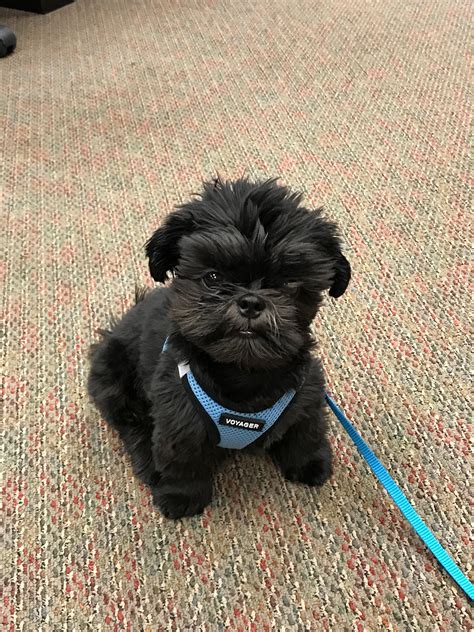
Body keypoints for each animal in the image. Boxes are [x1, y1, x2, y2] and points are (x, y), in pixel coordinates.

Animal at [88, 177, 352, 520]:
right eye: (213, 277)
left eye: (289, 284)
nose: (251, 301)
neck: (244, 375)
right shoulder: (178, 418)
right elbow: (183, 462)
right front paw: (182, 497)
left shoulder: (307, 394)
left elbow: (306, 432)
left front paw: (310, 464)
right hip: (113, 377)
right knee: (131, 424)